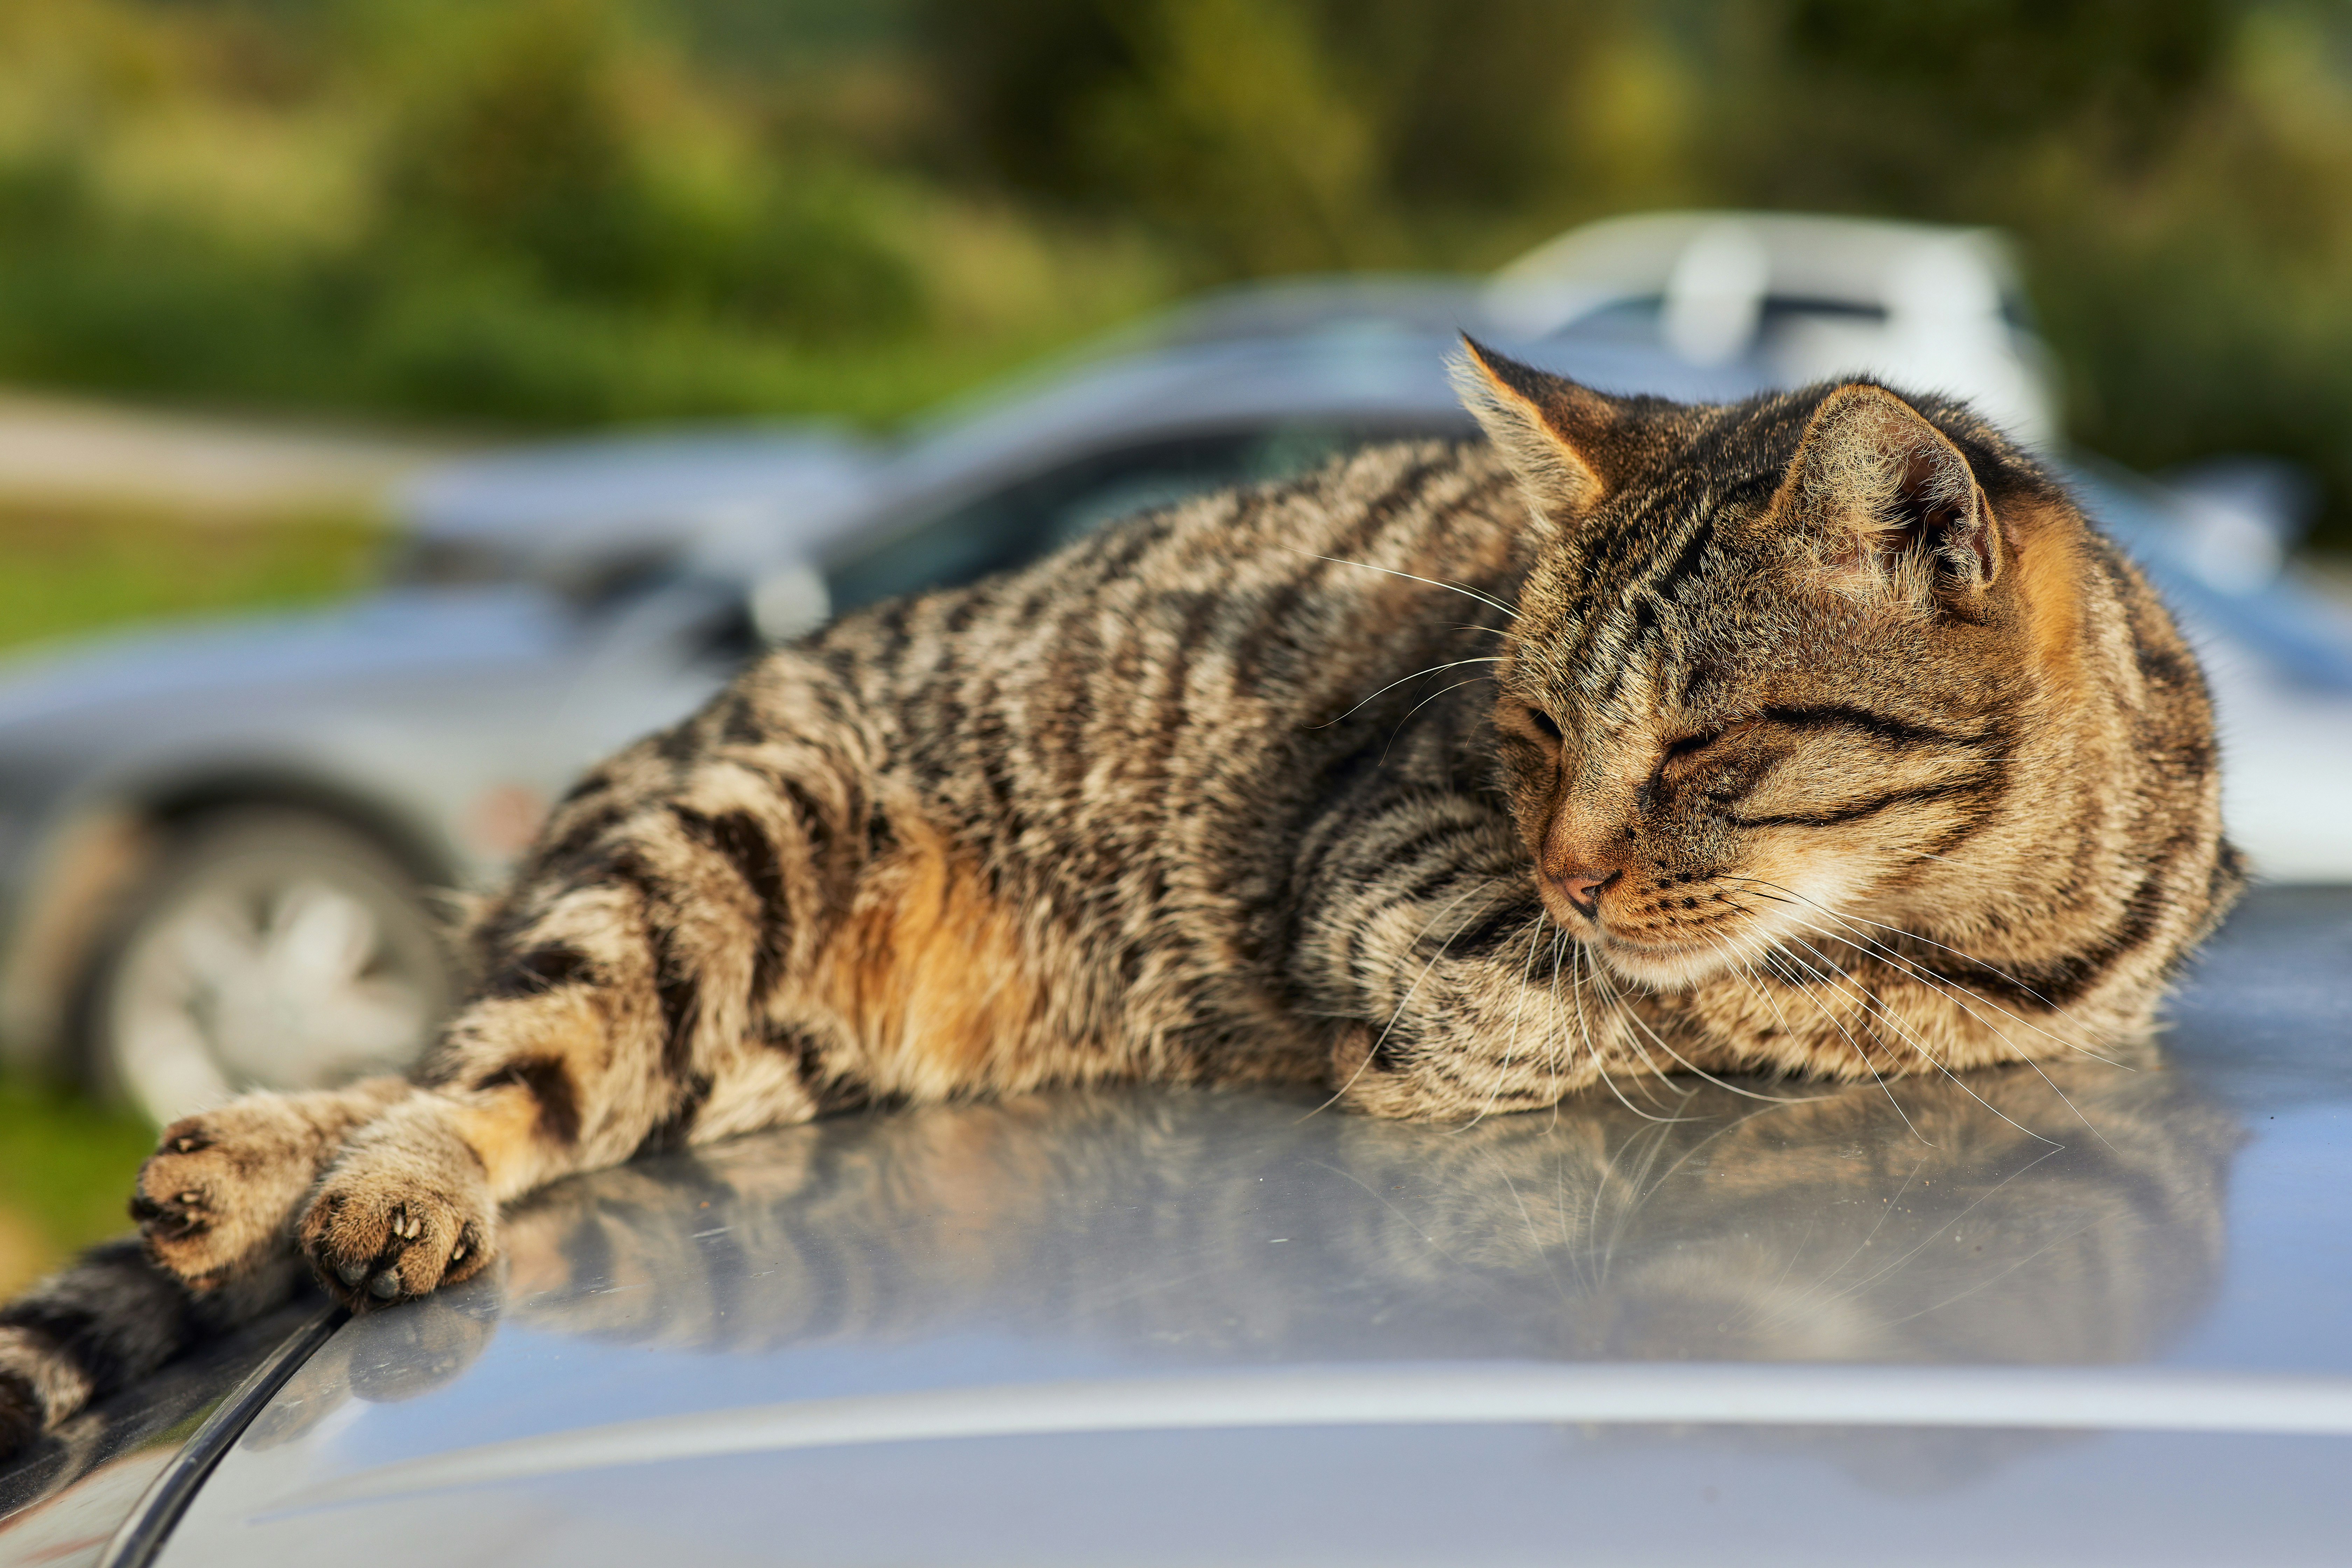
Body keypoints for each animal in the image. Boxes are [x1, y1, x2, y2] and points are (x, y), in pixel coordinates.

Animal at [0, 343, 2239, 1457]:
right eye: (1528, 725)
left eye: (1699, 744)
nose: (1574, 852)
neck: (1981, 921)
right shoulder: (1399, 868)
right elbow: (1579, 1004)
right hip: (728, 841)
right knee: (495, 1056)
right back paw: (355, 1183)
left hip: (765, 1055)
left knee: (529, 1070)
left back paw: (246, 1176)